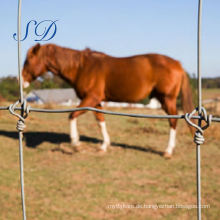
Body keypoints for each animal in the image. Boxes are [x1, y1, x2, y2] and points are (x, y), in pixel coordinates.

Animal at [22, 43, 193, 158]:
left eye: (29, 59)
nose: (22, 81)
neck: (81, 67)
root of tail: (177, 63)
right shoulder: (96, 101)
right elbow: (100, 121)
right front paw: (104, 146)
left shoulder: (91, 98)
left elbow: (72, 115)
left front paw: (76, 143)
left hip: (167, 99)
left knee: (173, 121)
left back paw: (168, 151)